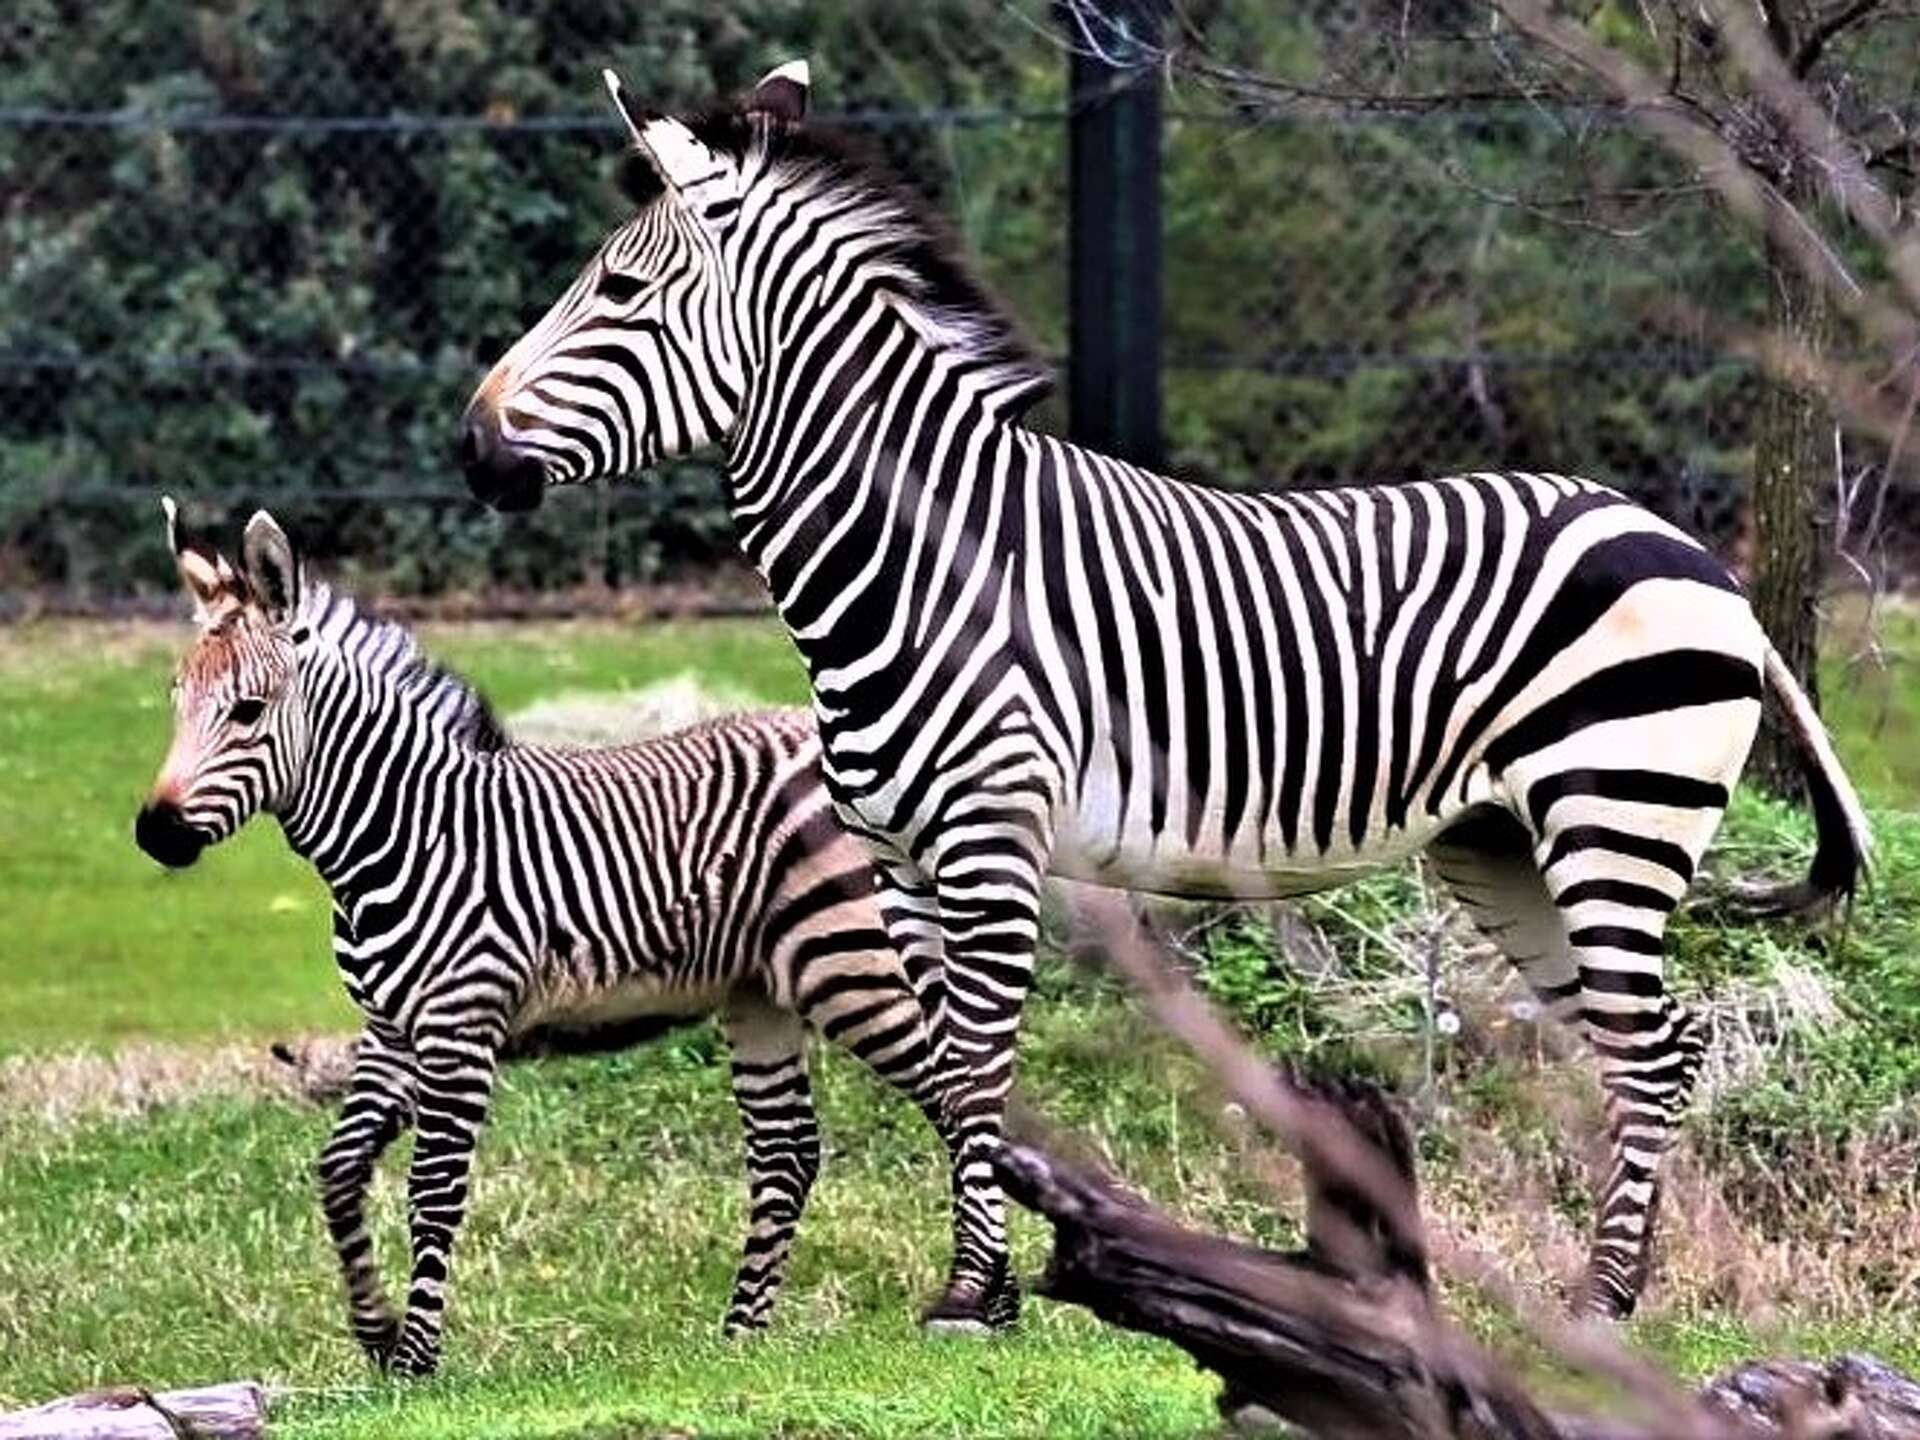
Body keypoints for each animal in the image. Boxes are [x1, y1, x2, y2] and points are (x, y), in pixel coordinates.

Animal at [133, 500, 987, 1376]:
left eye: (247, 711)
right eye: (176, 701)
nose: (154, 834)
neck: (407, 833)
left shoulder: (459, 1028)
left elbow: (434, 1194)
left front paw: (416, 1360)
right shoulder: (391, 1031)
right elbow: (338, 1172)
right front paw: (375, 1330)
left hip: (851, 968)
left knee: (959, 1096)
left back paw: (987, 1301)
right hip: (762, 992)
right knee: (788, 1152)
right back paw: (741, 1335)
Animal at [457, 62, 1872, 1324]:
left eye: (619, 290)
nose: (471, 450)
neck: (923, 557)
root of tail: (1696, 552)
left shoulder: (990, 841)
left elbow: (982, 1063)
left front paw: (973, 1300)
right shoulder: (901, 859)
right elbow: (954, 1076)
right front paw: (989, 1281)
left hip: (1613, 811)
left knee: (1654, 1047)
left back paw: (1608, 1305)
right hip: (1504, 843)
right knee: (1630, 1047)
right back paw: (1616, 1294)